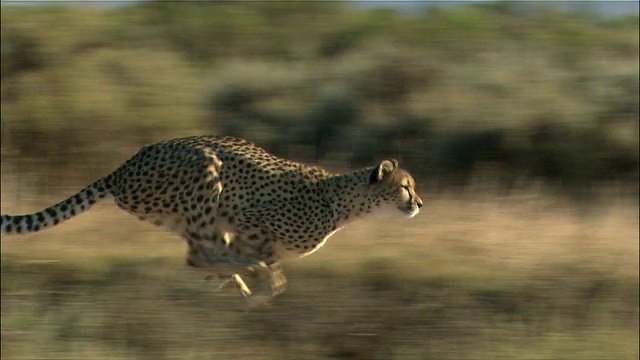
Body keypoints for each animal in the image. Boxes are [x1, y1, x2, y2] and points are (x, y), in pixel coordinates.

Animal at [1, 136, 424, 300]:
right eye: (405, 186)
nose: (420, 203)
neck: (344, 201)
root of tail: (124, 167)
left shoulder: (234, 232)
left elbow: (236, 261)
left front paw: (247, 282)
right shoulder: (248, 220)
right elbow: (259, 260)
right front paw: (262, 279)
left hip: (184, 217)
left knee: (196, 256)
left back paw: (238, 283)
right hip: (206, 171)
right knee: (197, 255)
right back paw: (247, 279)